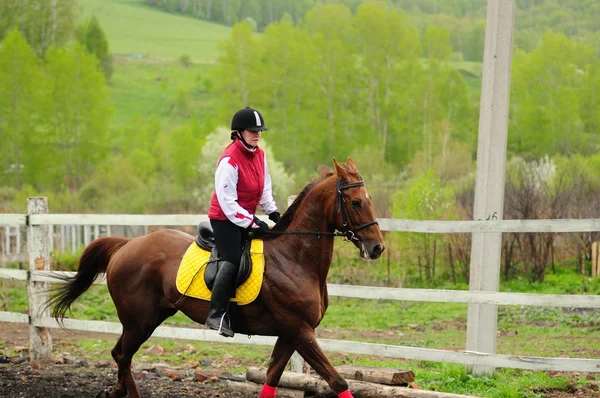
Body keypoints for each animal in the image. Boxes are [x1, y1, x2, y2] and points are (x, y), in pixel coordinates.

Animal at [48, 157, 384, 396]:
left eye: (369, 198)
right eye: (356, 202)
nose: (377, 247)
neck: (295, 258)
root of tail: (127, 244)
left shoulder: (292, 333)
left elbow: (272, 379)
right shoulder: (300, 330)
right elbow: (338, 382)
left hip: (150, 318)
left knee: (121, 356)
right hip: (139, 321)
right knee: (121, 354)